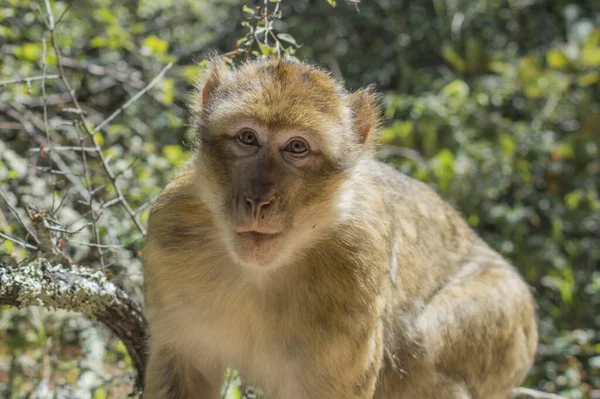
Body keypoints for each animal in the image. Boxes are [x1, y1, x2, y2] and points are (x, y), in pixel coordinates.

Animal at [143, 59, 536, 399]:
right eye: (248, 138)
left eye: (296, 147)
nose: (258, 201)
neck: (260, 272)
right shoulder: (170, 230)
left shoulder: (357, 265)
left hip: (508, 317)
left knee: (417, 345)